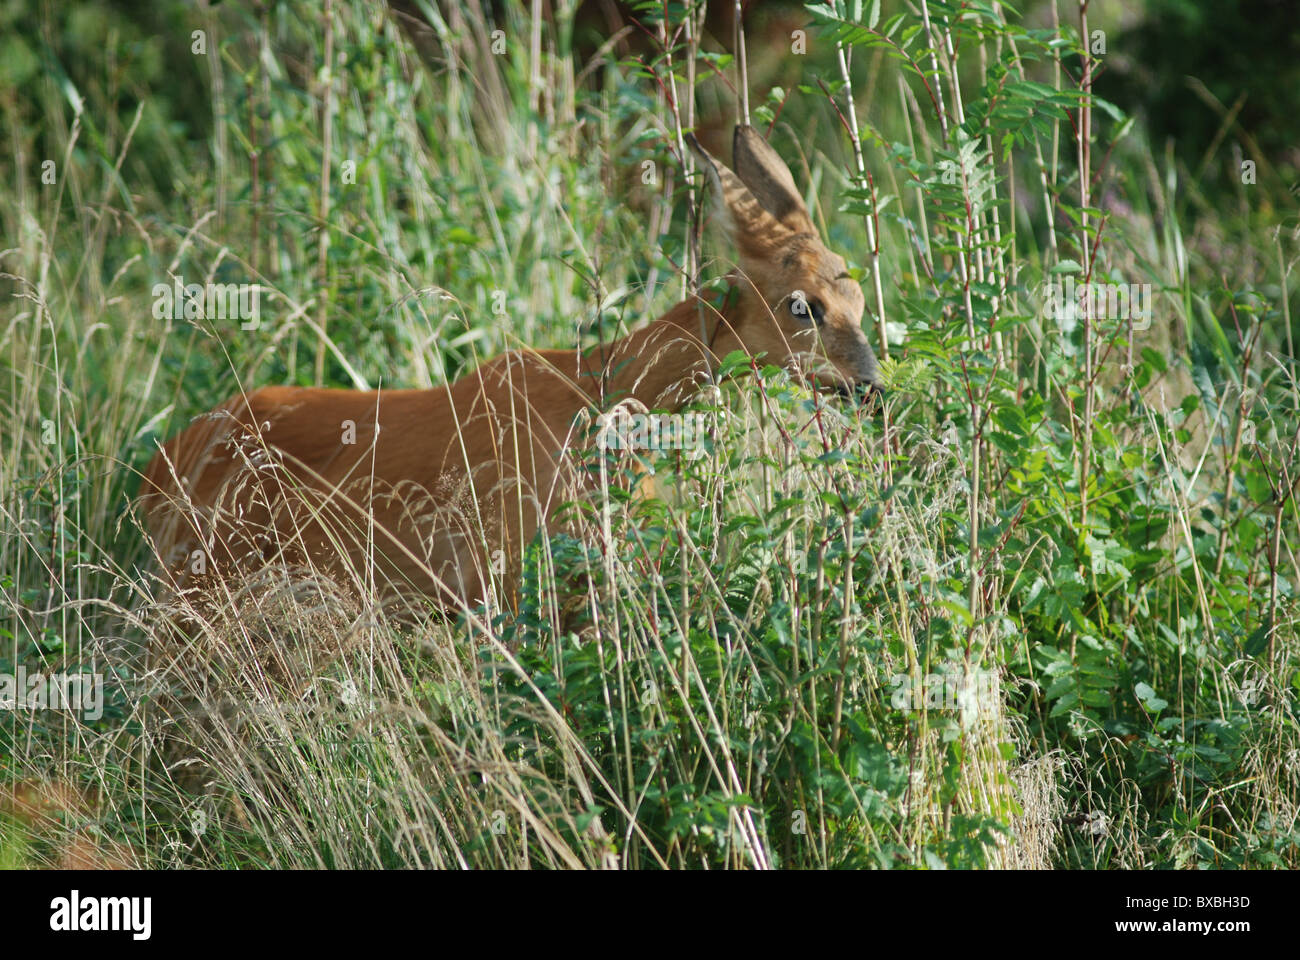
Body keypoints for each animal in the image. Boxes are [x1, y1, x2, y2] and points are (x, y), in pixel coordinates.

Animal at [142, 125, 889, 613]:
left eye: (858, 299)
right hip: (201, 579)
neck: (595, 401)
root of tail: (156, 467)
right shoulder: (499, 570)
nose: (871, 387)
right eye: (802, 305)